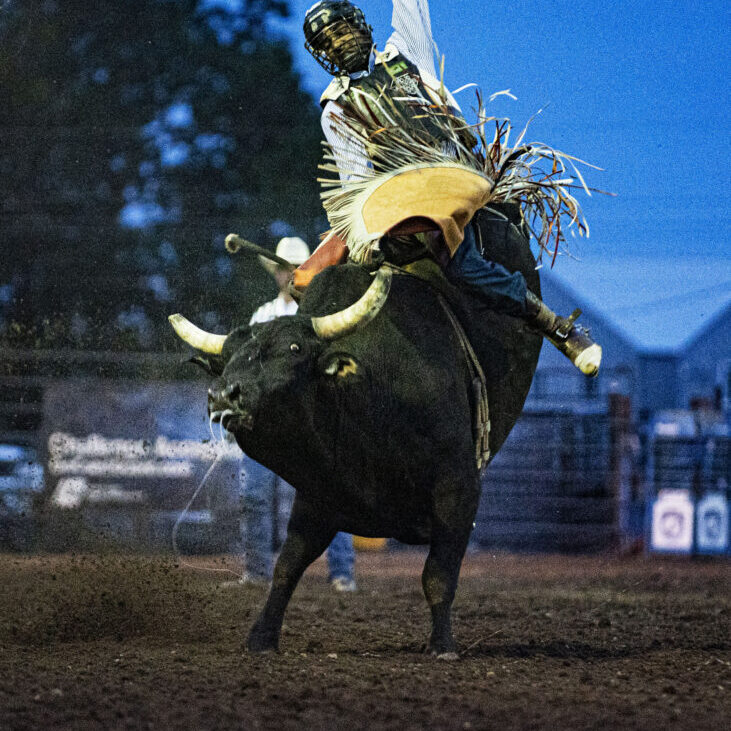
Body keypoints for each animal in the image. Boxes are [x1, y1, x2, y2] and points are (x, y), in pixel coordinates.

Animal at [169, 206, 540, 656]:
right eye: (226, 359)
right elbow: (287, 566)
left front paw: (442, 645)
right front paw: (261, 637)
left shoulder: (459, 488)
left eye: (295, 349)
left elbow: (438, 575)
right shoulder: (319, 494)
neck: (366, 397)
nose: (224, 395)